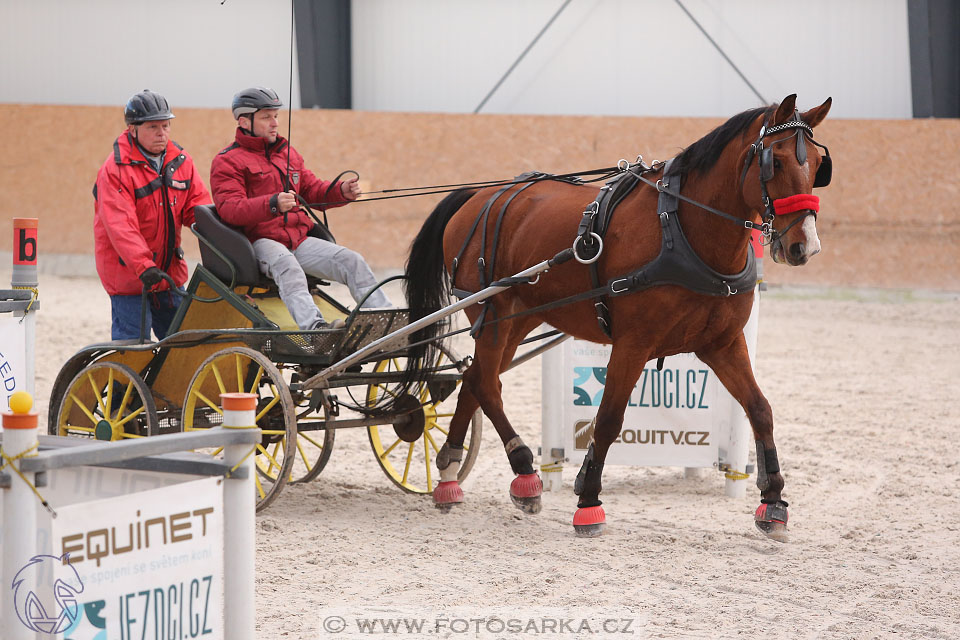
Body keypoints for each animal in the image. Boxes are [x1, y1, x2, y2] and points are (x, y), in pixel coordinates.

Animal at [404, 92, 832, 536]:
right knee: (486, 383)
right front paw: (588, 500)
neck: (683, 232)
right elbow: (609, 418)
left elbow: (760, 410)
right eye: (775, 161)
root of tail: (478, 196)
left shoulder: (723, 344)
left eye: (820, 164)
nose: (804, 245)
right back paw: (523, 469)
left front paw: (773, 501)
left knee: (474, 378)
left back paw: (450, 476)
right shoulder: (633, 343)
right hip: (489, 310)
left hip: (518, 318)